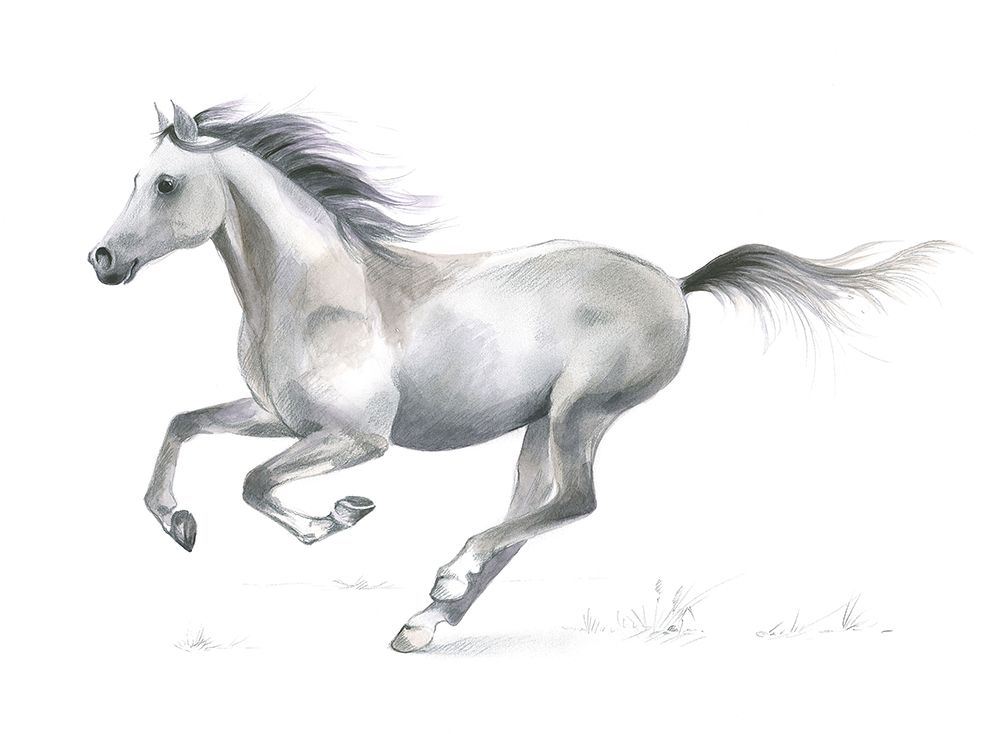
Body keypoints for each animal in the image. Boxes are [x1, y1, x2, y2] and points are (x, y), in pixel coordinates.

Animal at [88, 102, 947, 652]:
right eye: (133, 176)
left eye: (164, 183)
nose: (102, 259)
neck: (317, 290)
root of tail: (677, 283)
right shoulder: (281, 417)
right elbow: (182, 425)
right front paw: (177, 522)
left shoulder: (357, 439)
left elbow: (255, 483)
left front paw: (339, 516)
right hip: (540, 425)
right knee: (532, 513)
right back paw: (425, 622)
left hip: (581, 412)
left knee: (573, 501)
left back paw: (446, 581)